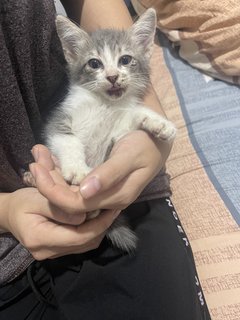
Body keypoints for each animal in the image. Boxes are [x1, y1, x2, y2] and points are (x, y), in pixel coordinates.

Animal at [42, 8, 175, 252]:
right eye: (94, 63)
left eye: (125, 60)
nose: (112, 76)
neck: (104, 104)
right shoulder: (59, 118)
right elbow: (67, 138)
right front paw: (77, 168)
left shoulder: (116, 130)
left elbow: (130, 119)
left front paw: (158, 123)